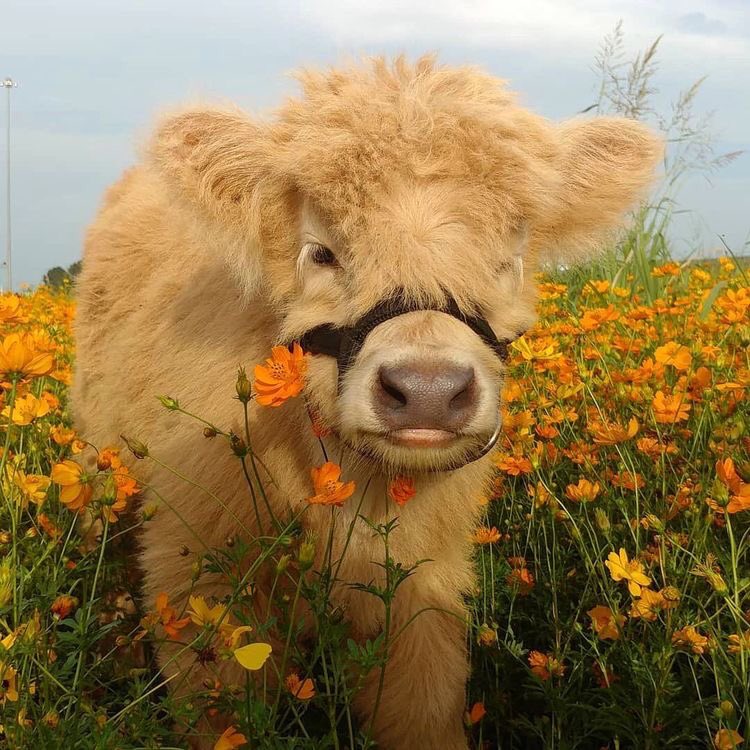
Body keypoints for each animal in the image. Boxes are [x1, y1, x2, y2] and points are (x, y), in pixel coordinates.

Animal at [73, 55, 664, 748]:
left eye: (508, 259)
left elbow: (420, 704)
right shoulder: (196, 567)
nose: (428, 392)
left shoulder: (422, 584)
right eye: (321, 252)